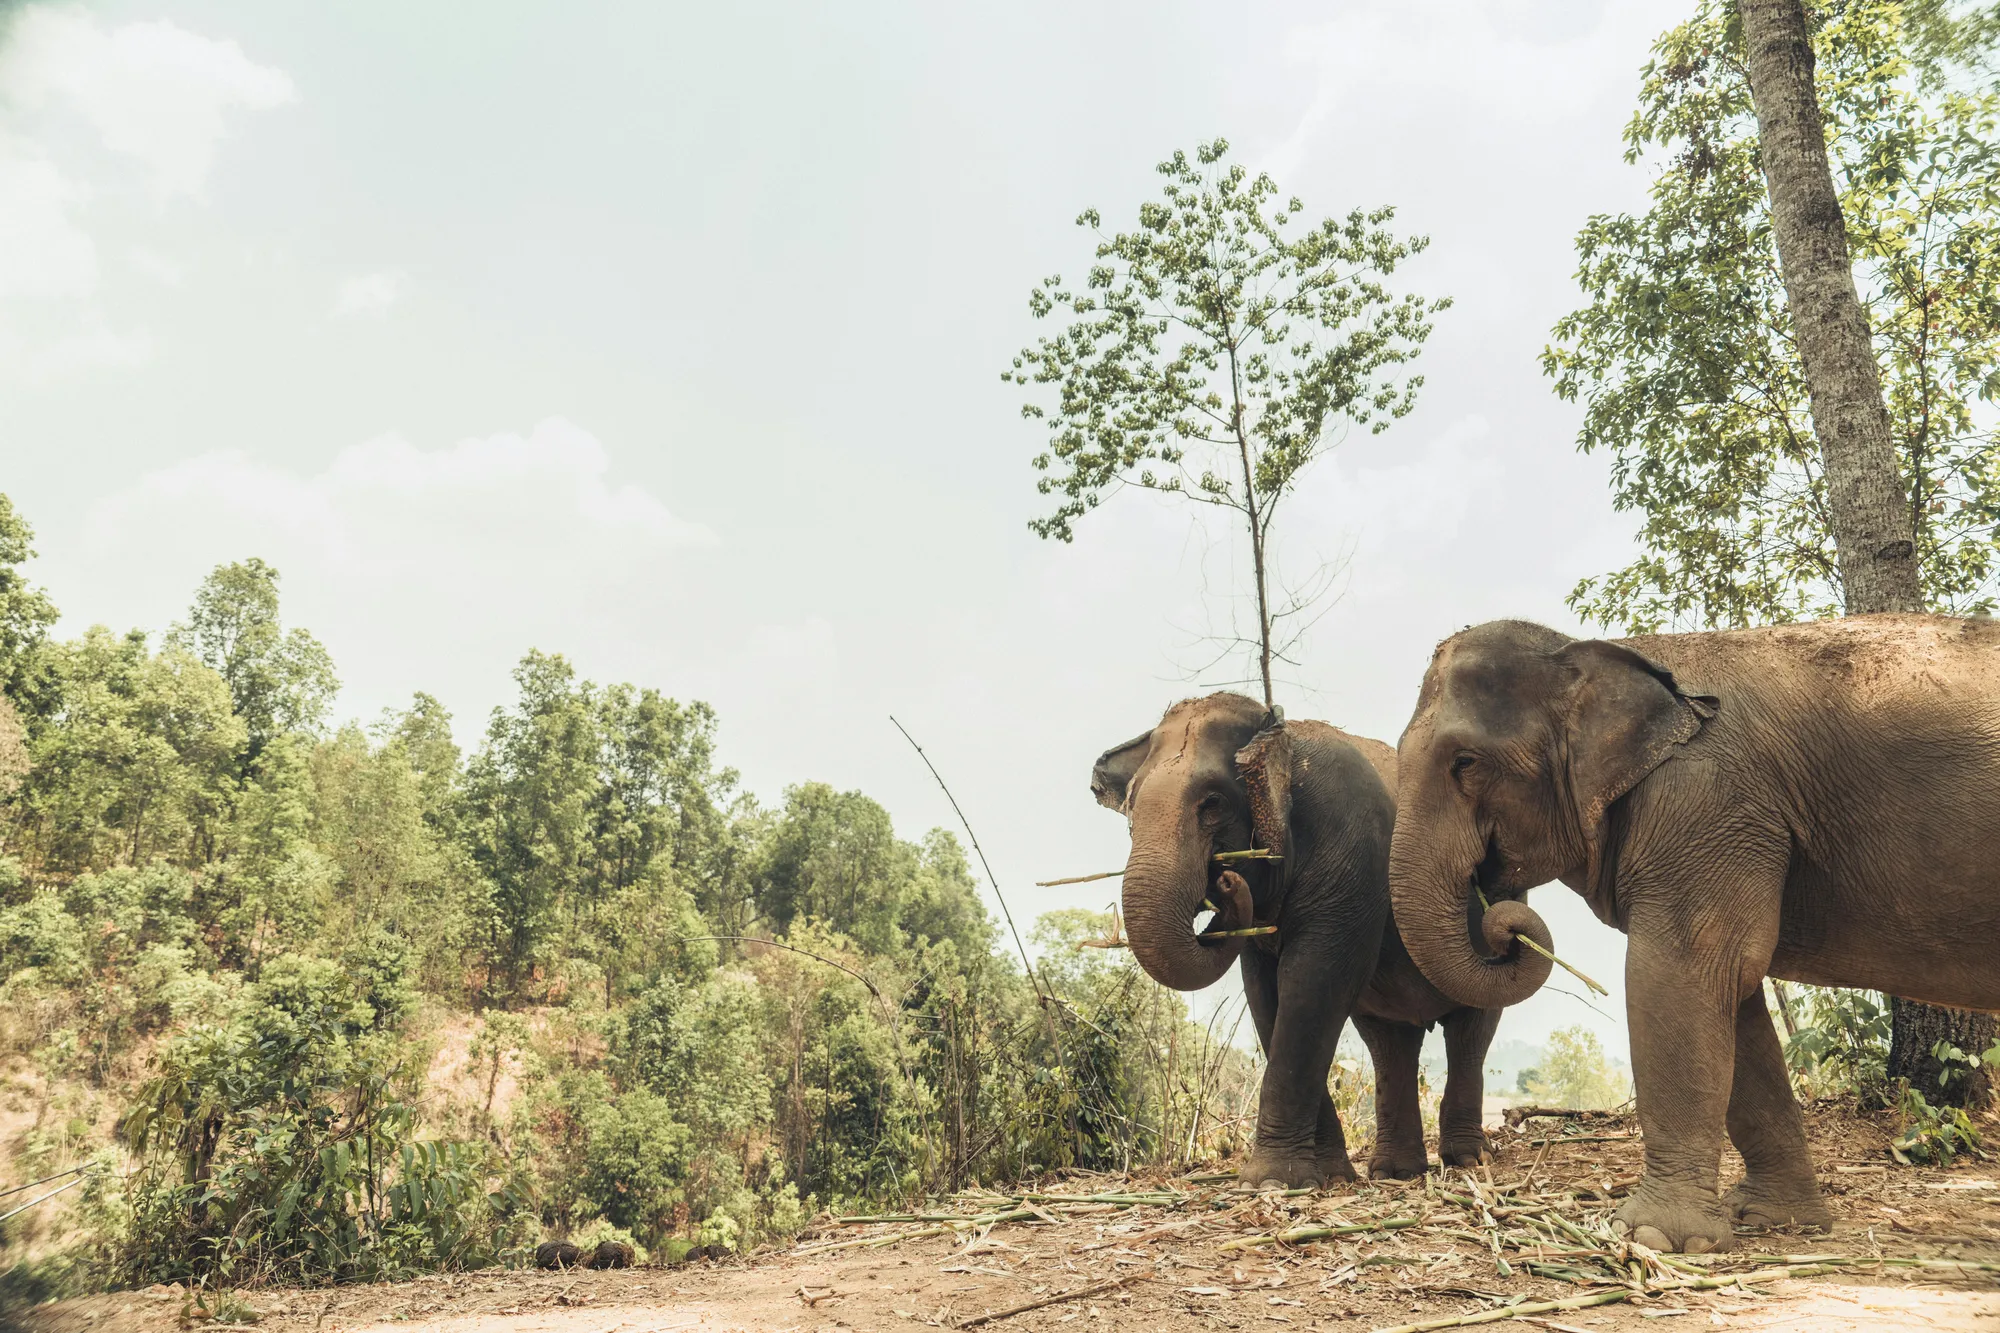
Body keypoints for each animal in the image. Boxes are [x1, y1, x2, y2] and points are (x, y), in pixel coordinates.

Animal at [1091, 691, 1503, 1188]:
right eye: (1130, 811)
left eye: (1212, 803)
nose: (1226, 881)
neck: (1280, 737)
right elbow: (1265, 996)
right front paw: (1326, 1177)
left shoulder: (1350, 849)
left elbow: (1312, 982)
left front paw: (1270, 1182)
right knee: (1389, 1042)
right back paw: (1395, 1172)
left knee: (1472, 1027)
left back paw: (1467, 1162)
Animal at [1386, 614, 2000, 1253]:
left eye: (1466, 762)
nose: (1502, 918)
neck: (1609, 656)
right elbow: (1736, 997)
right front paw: (1771, 1220)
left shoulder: (1704, 805)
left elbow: (1679, 973)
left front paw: (1655, 1237)